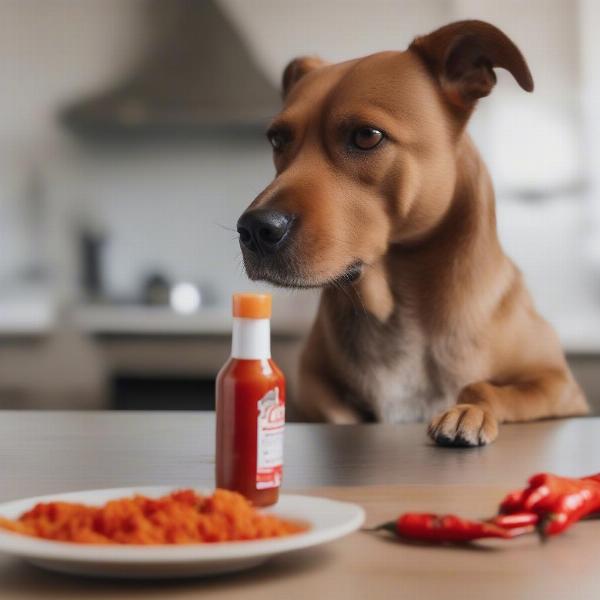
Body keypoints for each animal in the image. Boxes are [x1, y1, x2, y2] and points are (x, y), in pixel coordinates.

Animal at [237, 19, 588, 446]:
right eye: (277, 139)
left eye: (367, 136)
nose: (254, 229)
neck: (401, 309)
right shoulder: (313, 385)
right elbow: (336, 410)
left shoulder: (561, 386)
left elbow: (485, 387)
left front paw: (469, 410)